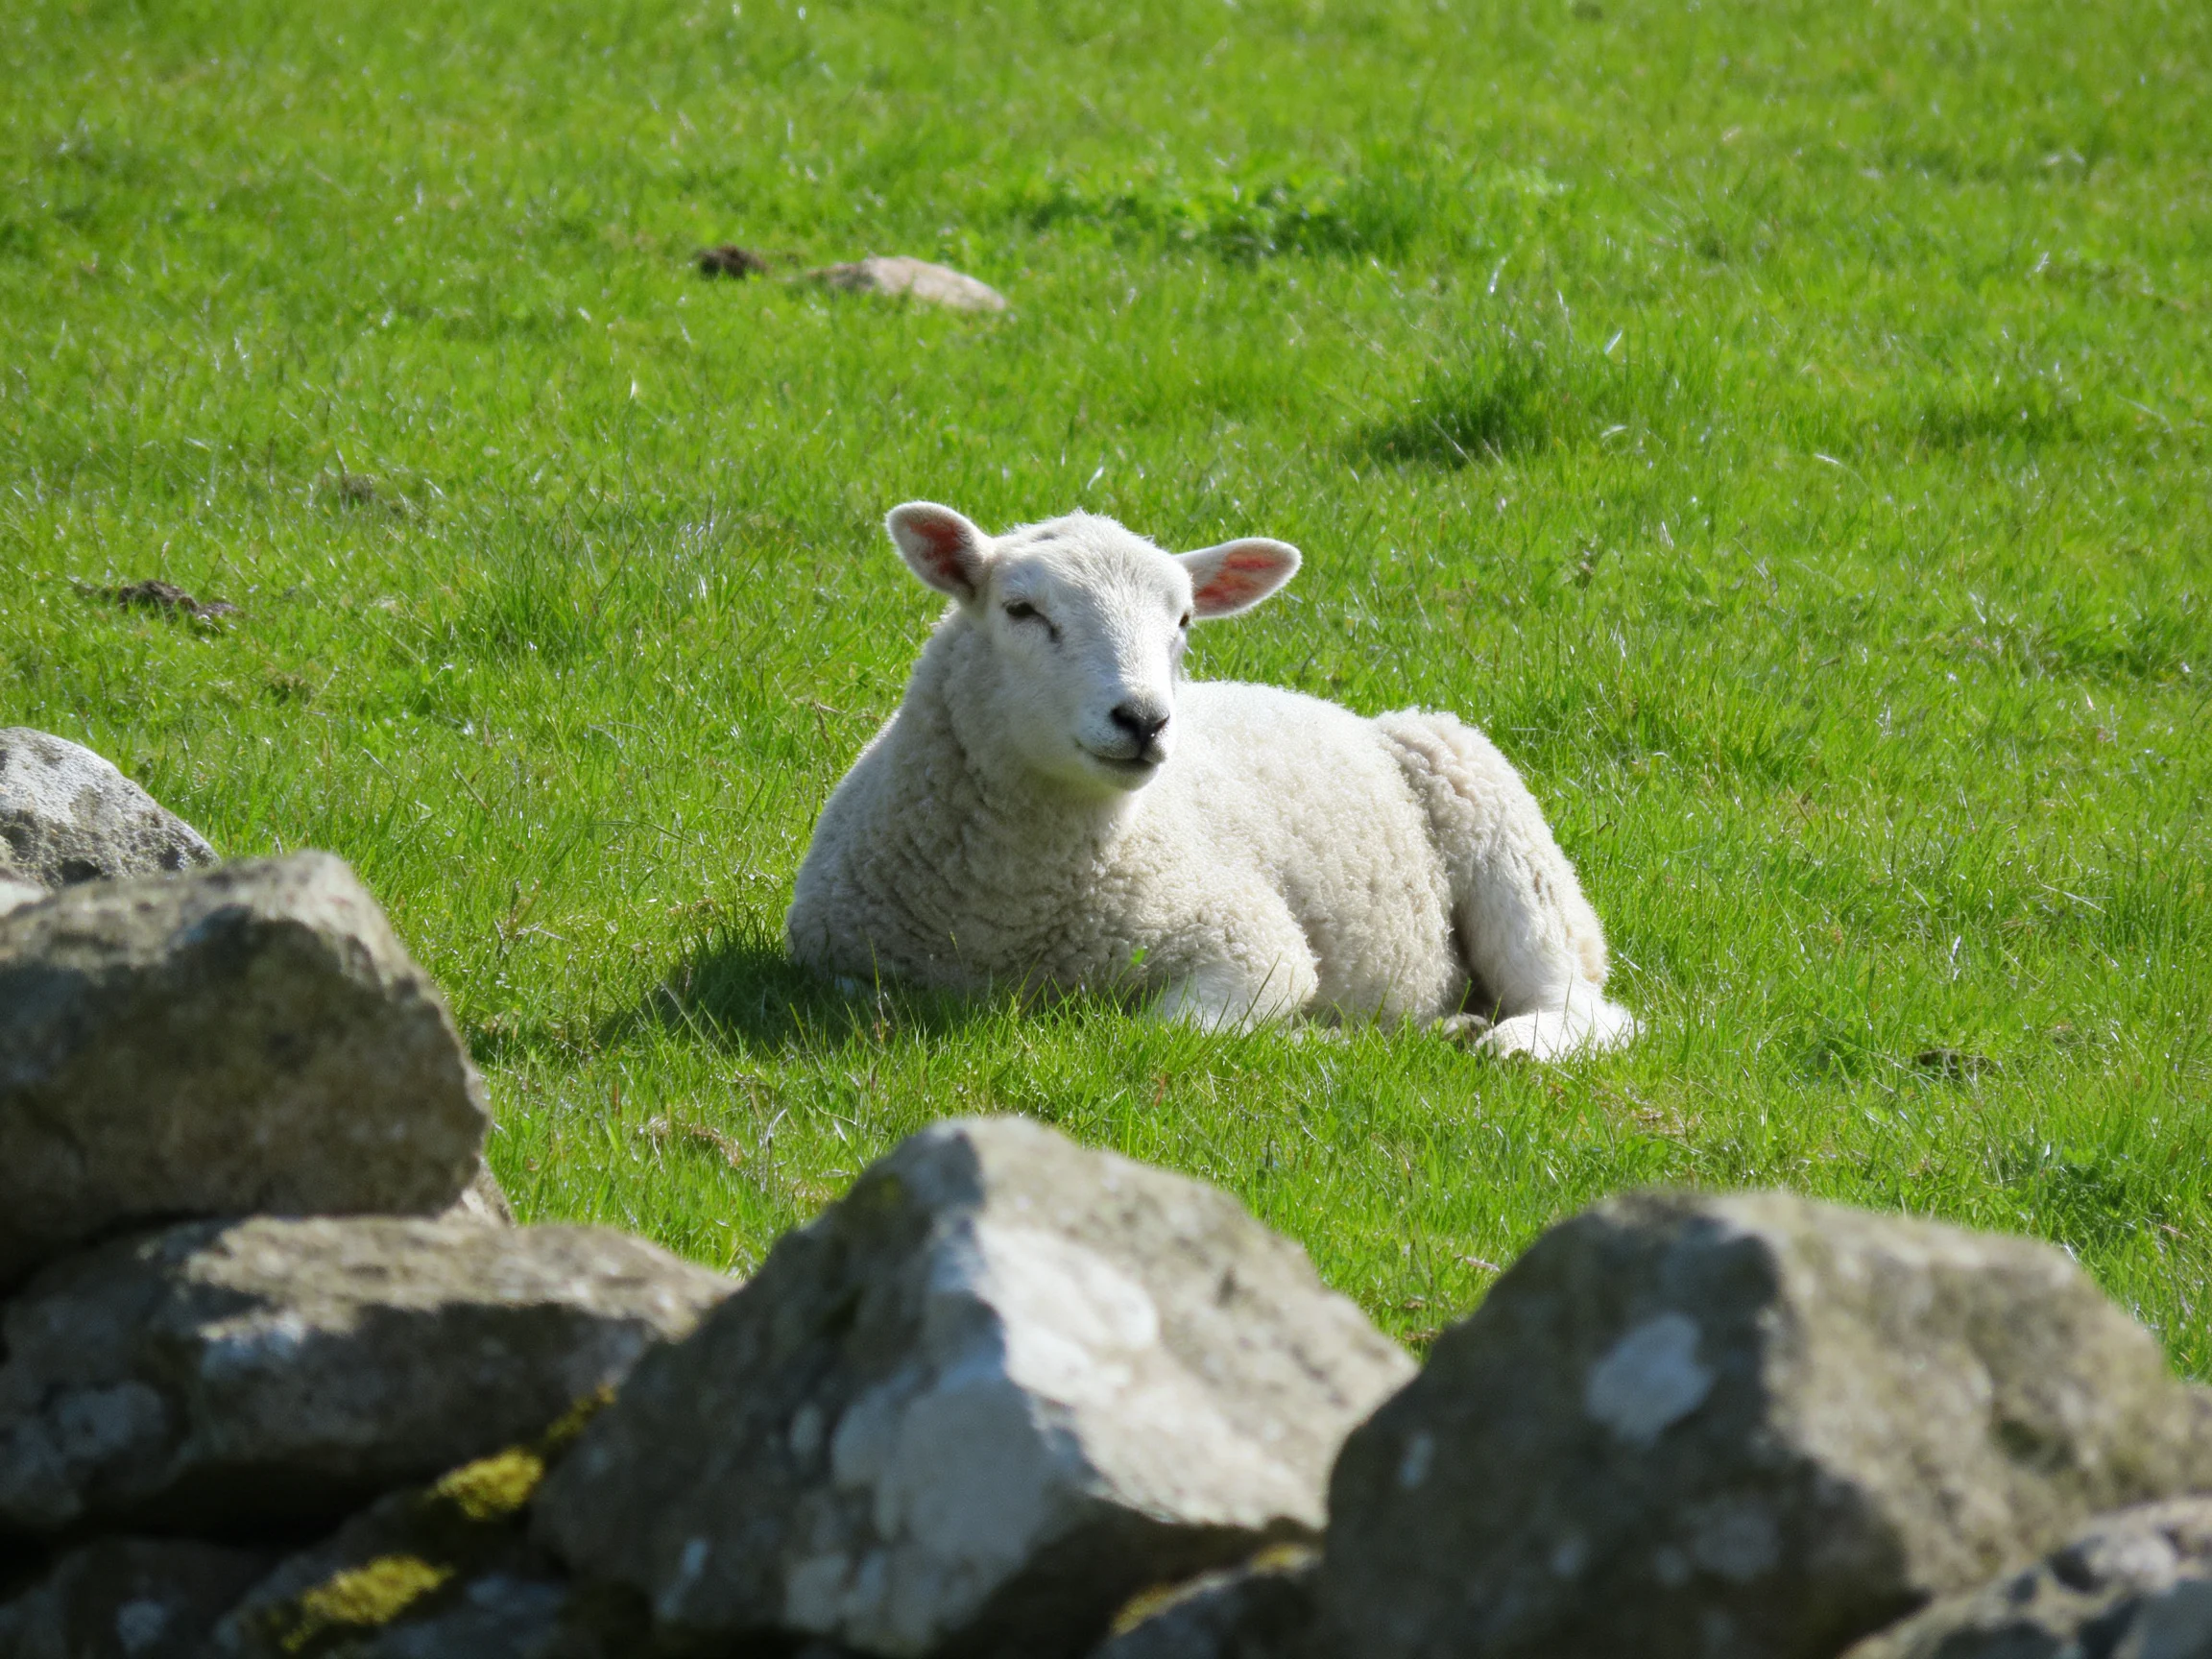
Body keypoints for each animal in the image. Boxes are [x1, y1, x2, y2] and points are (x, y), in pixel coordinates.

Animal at [784, 503, 1639, 1058]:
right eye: (1021, 610)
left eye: (1185, 622)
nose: (1143, 720)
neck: (1013, 917)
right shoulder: (833, 967)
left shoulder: (1252, 944)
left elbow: (1165, 1032)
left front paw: (1313, 1041)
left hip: (1501, 832)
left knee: (1587, 1007)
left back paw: (1512, 1043)